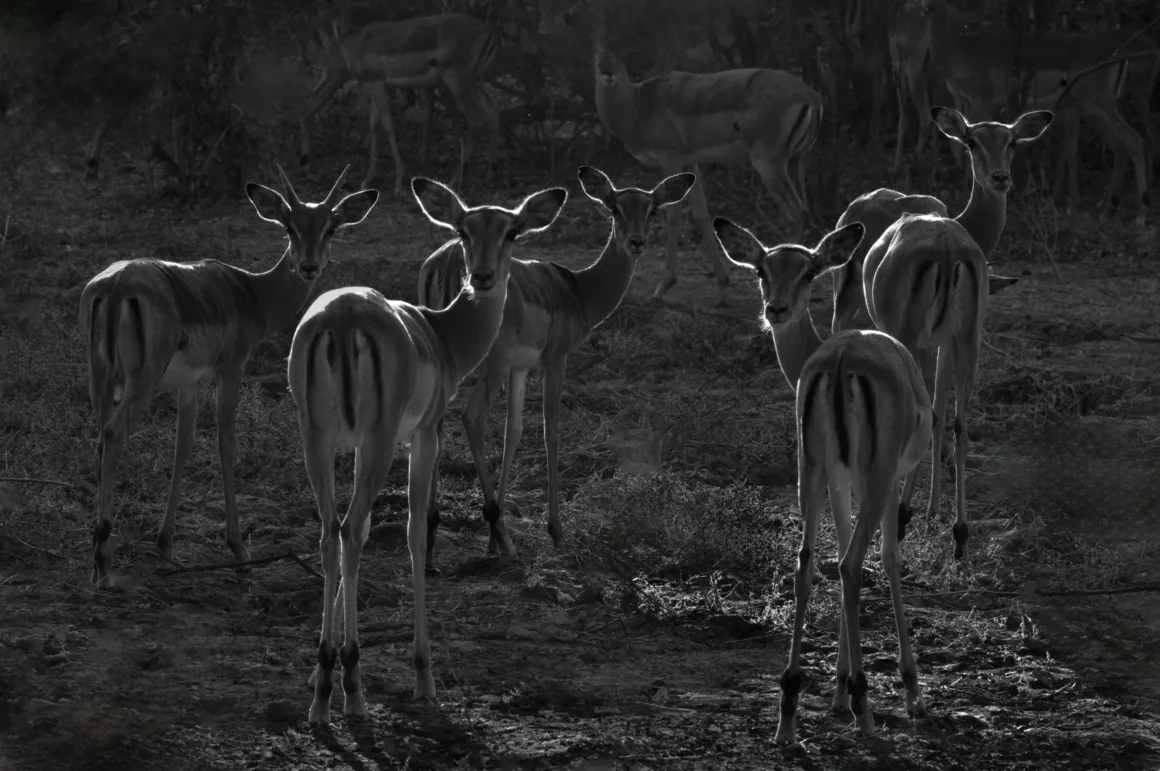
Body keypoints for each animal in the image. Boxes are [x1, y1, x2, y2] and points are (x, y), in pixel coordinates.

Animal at [80, 165, 378, 588]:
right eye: (289, 226)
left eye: (330, 226)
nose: (308, 266)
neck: (251, 292)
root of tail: (118, 284)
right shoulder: (231, 369)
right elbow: (226, 445)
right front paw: (239, 549)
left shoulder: (189, 381)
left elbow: (183, 446)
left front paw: (165, 545)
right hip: (141, 382)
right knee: (112, 434)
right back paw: (105, 563)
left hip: (100, 376)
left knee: (100, 440)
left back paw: (96, 558)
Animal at [289, 178, 566, 724]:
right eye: (462, 229)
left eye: (511, 231)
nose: (482, 277)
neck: (440, 335)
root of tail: (341, 318)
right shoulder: (424, 434)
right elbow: (416, 534)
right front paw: (423, 675)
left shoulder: (354, 445)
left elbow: (364, 531)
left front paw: (317, 672)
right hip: (377, 442)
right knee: (349, 531)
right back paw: (352, 689)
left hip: (317, 441)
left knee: (331, 535)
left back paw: (323, 692)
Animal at [418, 166, 694, 566]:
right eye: (614, 207)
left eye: (652, 208)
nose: (636, 242)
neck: (576, 290)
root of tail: (446, 263)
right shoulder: (555, 360)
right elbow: (551, 432)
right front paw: (555, 531)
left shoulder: (521, 368)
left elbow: (514, 433)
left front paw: (491, 538)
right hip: (491, 363)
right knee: (471, 416)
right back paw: (500, 536)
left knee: (437, 422)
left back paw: (432, 539)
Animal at [712, 218, 932, 742]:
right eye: (761, 268)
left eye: (808, 271)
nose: (776, 309)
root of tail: (839, 358)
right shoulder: (882, 479)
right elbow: (887, 560)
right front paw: (908, 692)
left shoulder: (836, 475)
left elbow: (836, 551)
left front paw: (835, 691)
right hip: (873, 476)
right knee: (852, 566)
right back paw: (865, 710)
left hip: (807, 471)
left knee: (806, 565)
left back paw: (790, 710)